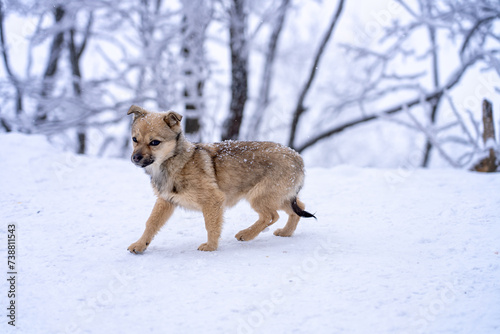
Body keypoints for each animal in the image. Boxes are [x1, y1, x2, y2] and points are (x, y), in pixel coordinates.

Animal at [125, 105, 314, 253]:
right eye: (135, 139)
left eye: (155, 142)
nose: (135, 158)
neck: (176, 161)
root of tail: (298, 158)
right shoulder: (165, 201)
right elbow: (151, 223)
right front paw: (140, 245)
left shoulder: (213, 200)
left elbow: (211, 225)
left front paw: (210, 246)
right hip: (279, 197)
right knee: (298, 208)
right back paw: (286, 232)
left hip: (260, 196)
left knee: (271, 216)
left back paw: (246, 234)